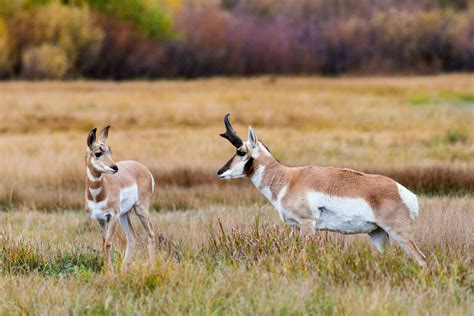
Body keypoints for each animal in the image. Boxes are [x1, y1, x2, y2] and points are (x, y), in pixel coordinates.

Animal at [85, 126, 156, 272]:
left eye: (110, 151)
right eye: (98, 153)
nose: (115, 167)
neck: (99, 195)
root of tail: (144, 169)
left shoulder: (112, 217)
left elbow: (108, 244)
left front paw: (110, 272)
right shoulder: (101, 220)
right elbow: (103, 243)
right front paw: (108, 271)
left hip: (140, 210)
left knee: (151, 232)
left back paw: (150, 267)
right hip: (124, 214)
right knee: (132, 238)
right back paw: (123, 270)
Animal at [217, 114, 428, 266]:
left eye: (241, 152)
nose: (220, 172)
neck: (288, 179)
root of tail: (406, 193)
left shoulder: (307, 224)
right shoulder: (295, 226)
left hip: (399, 232)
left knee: (421, 259)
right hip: (377, 234)